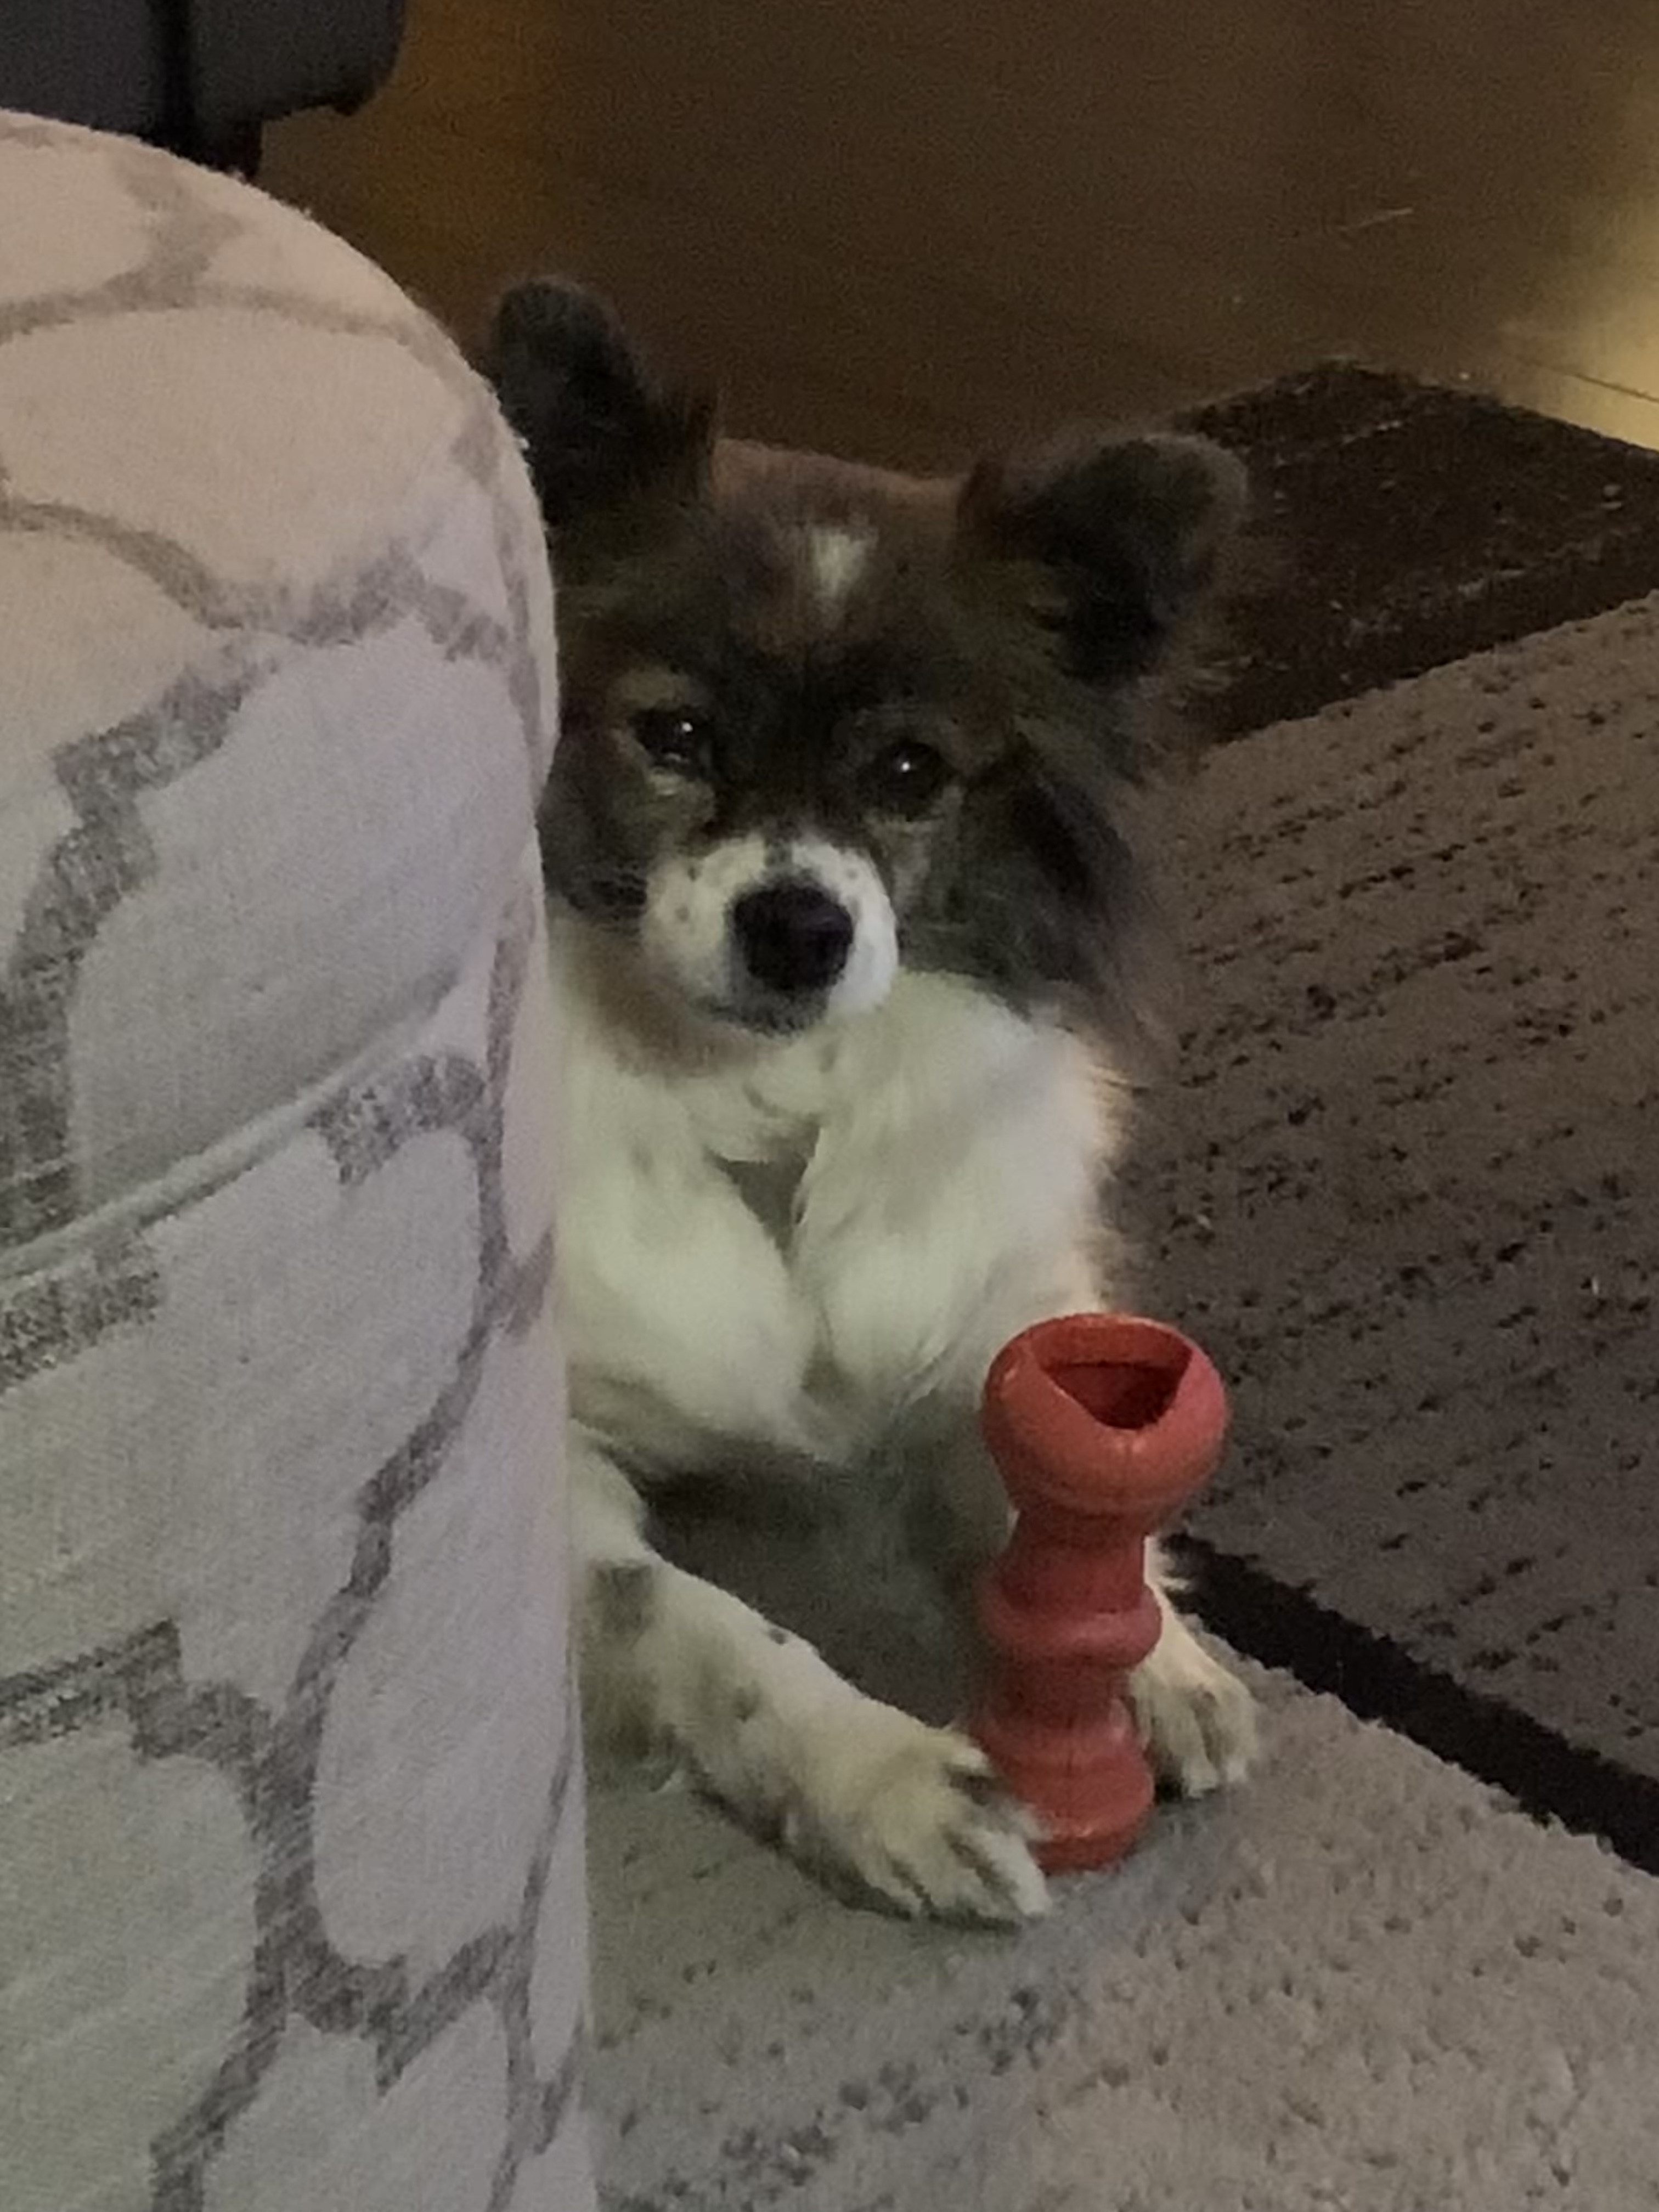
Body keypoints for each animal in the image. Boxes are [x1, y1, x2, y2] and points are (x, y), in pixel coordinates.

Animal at [487, 279, 1258, 1922]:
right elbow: (704, 1628)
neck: (770, 1111)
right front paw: (889, 1780)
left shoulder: (992, 1312)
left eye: (911, 774)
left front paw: (1158, 1657)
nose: (800, 928)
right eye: (677, 737)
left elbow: (1050, 1474)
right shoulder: (568, 1476)